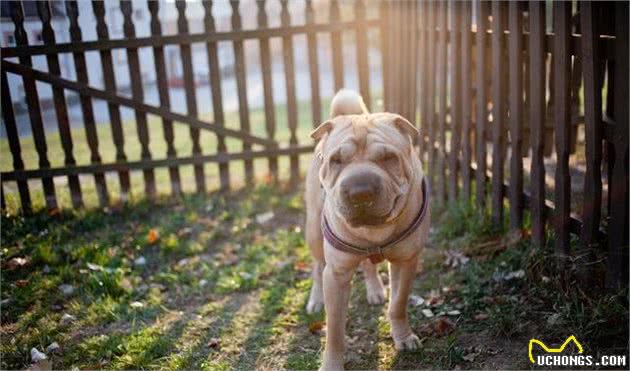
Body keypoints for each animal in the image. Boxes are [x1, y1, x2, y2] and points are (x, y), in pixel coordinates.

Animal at [304, 89, 430, 370]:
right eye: (336, 161)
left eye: (388, 158)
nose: (360, 191)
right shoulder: (336, 274)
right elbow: (335, 329)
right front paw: (331, 364)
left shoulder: (407, 261)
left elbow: (398, 304)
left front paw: (403, 337)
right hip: (314, 234)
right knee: (317, 266)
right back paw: (315, 299)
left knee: (368, 263)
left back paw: (375, 290)